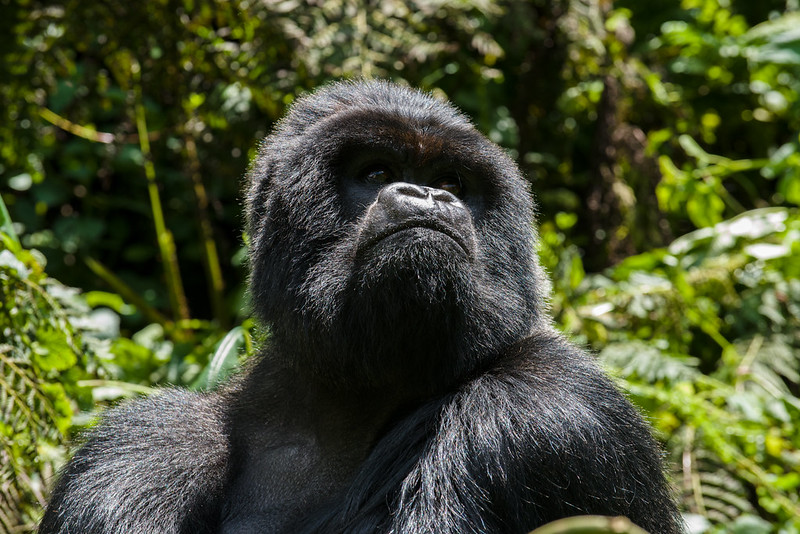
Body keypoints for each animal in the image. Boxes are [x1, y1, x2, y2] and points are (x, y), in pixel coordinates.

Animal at [40, 80, 680, 534]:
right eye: (376, 172)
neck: (339, 395)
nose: (430, 195)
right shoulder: (143, 446)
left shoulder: (547, 410)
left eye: (452, 180)